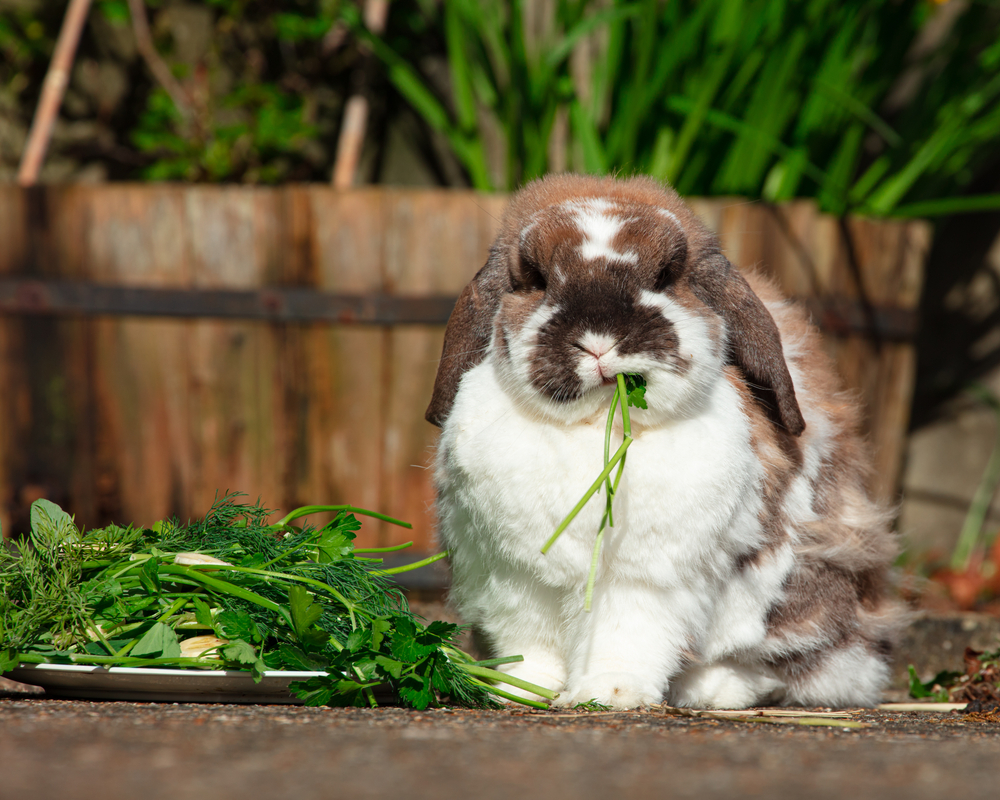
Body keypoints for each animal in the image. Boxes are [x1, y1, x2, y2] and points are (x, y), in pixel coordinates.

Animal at [426, 177, 904, 712]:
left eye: (666, 275)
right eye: (534, 278)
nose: (599, 340)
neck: (598, 429)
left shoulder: (643, 581)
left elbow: (624, 638)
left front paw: (608, 694)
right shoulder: (515, 579)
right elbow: (531, 645)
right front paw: (519, 691)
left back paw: (714, 690)